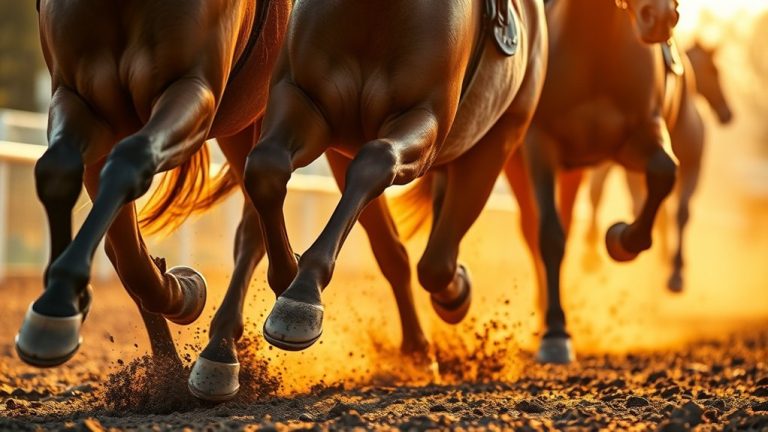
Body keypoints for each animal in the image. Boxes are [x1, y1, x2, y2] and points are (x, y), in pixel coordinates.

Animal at [14, 0, 292, 398]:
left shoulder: (193, 86)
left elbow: (131, 160)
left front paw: (185, 291)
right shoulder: (81, 96)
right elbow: (58, 171)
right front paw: (59, 302)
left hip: (258, 112)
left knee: (255, 214)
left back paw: (226, 349)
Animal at [240, 0, 547, 360]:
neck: (378, 12)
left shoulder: (423, 116)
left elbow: (377, 159)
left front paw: (301, 297)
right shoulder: (305, 99)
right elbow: (265, 165)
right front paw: (288, 276)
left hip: (500, 136)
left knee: (438, 260)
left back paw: (450, 302)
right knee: (400, 254)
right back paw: (420, 341)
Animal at [501, 0, 682, 364]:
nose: (658, 17)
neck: (596, 52)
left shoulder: (639, 134)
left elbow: (664, 172)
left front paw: (620, 240)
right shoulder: (540, 144)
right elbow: (549, 235)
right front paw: (556, 334)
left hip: (574, 172)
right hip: (517, 163)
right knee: (532, 229)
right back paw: (545, 318)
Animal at [584, 42, 734, 292]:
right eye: (715, 71)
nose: (727, 114)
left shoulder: (691, 170)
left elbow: (679, 214)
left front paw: (674, 269)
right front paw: (672, 267)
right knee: (600, 194)